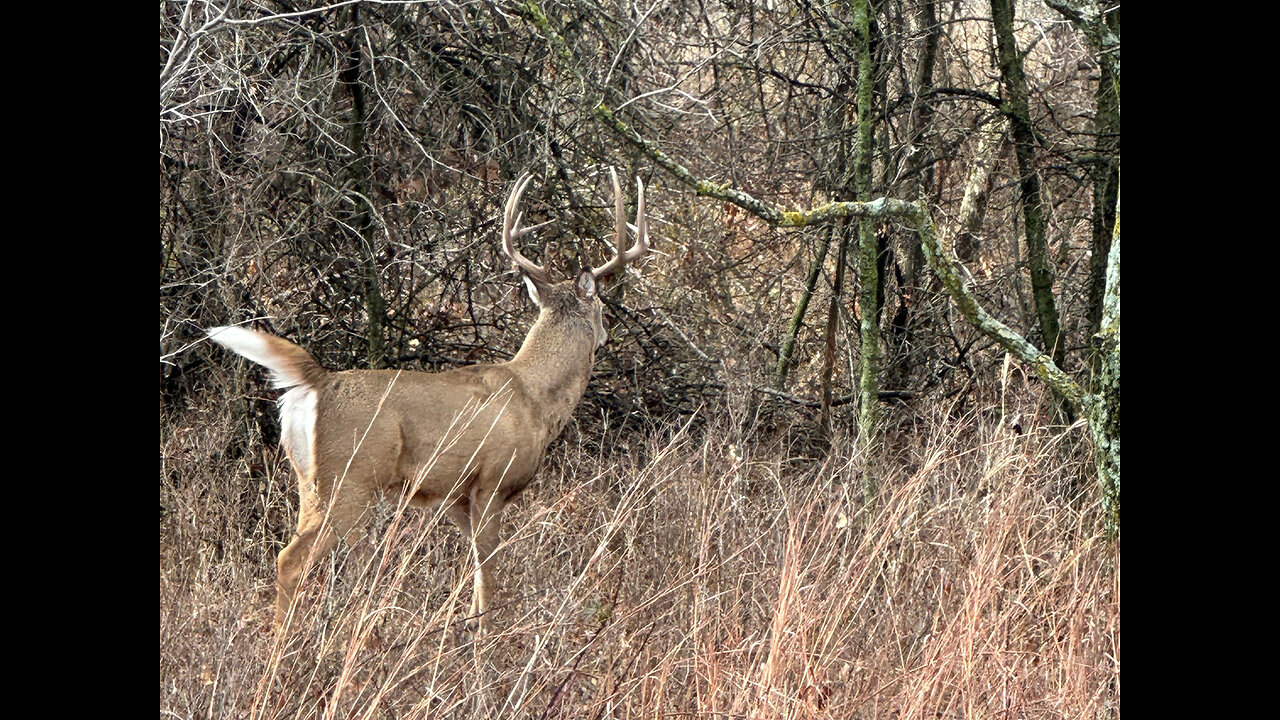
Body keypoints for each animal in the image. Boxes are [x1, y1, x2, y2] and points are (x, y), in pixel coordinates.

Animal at [212, 169, 650, 627]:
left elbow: (474, 568)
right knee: (292, 559)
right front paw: (485, 636)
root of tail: (318, 381)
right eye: (602, 309)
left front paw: (467, 628)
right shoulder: (492, 480)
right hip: (349, 479)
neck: (535, 396)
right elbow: (488, 572)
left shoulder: (454, 494)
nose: (605, 335)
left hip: (308, 481)